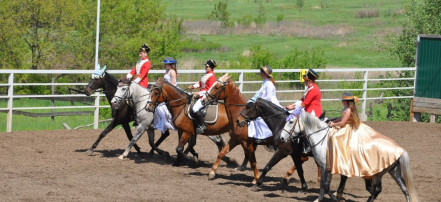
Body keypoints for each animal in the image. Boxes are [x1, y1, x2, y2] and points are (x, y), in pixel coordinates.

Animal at [278, 112, 416, 202]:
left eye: (291, 122)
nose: (282, 138)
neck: (323, 139)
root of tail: (399, 149)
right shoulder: (326, 168)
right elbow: (325, 185)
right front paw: (323, 198)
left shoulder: (325, 167)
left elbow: (325, 185)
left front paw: (333, 198)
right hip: (394, 171)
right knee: (404, 190)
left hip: (378, 174)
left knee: (377, 190)